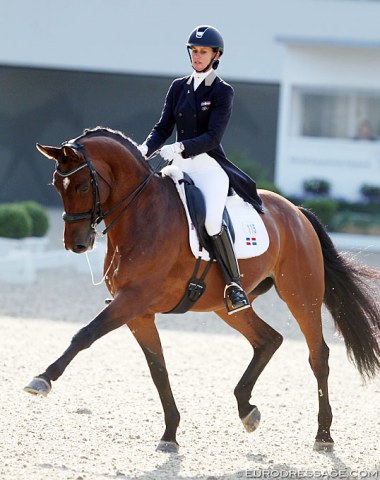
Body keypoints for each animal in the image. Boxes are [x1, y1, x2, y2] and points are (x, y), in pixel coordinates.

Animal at [24, 125, 380, 452]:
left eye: (84, 185)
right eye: (56, 185)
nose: (77, 244)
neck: (141, 214)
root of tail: (297, 212)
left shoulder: (132, 300)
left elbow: (85, 334)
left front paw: (42, 379)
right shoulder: (139, 313)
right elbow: (158, 369)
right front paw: (170, 434)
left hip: (301, 295)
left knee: (318, 355)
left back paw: (323, 434)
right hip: (226, 306)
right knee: (268, 340)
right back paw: (246, 409)